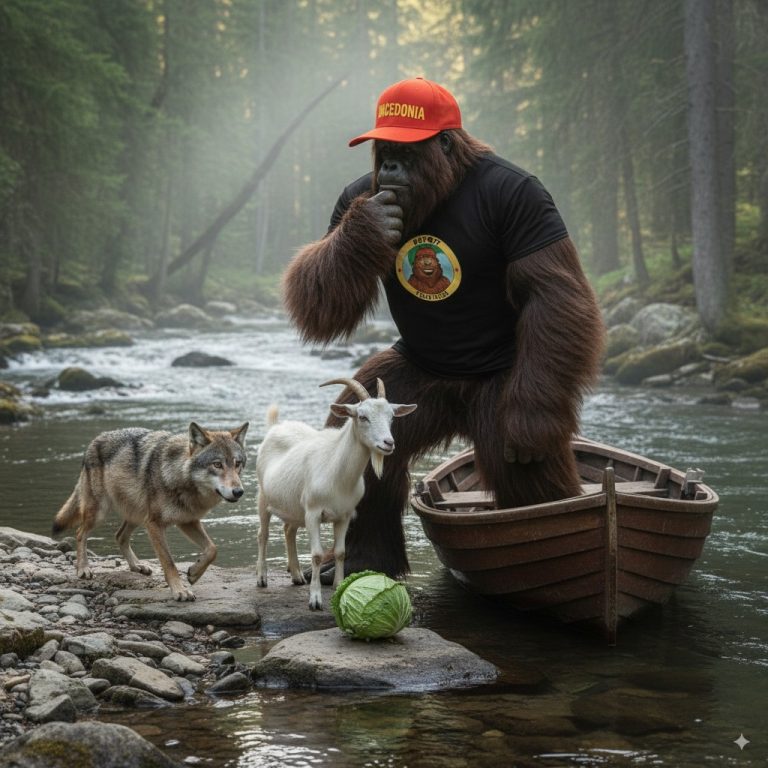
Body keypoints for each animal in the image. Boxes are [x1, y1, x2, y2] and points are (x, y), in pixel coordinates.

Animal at [52, 422, 248, 601]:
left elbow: (212, 549)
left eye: (237, 464)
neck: (179, 476)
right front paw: (180, 591)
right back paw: (83, 569)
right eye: (217, 464)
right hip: (100, 513)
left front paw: (194, 572)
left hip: (137, 516)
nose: (238, 492)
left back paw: (137, 566)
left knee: (119, 536)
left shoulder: (187, 521)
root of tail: (95, 440)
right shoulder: (155, 524)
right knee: (80, 533)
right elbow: (169, 562)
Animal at [255, 377, 417, 610]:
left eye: (391, 417)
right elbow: (317, 555)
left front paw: (339, 588)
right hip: (263, 496)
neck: (336, 470)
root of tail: (276, 426)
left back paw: (296, 576)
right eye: (362, 416)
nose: (388, 443)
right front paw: (315, 600)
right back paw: (261, 578)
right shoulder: (313, 513)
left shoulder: (344, 515)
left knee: (288, 530)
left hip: (294, 507)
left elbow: (341, 553)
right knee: (263, 534)